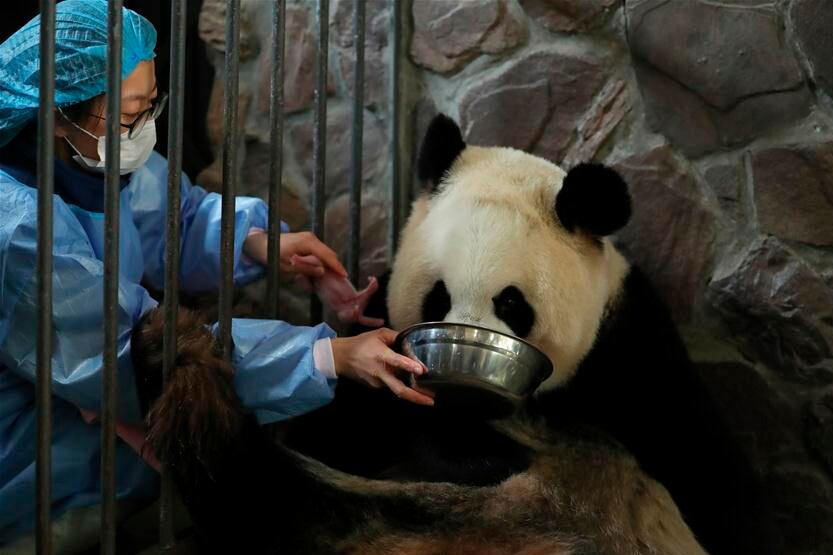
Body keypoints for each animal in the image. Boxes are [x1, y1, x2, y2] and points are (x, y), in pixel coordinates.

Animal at [132, 114, 772, 554]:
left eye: (512, 304)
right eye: (437, 297)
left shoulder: (628, 348)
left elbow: (709, 473)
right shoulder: (384, 331)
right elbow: (347, 423)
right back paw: (178, 358)